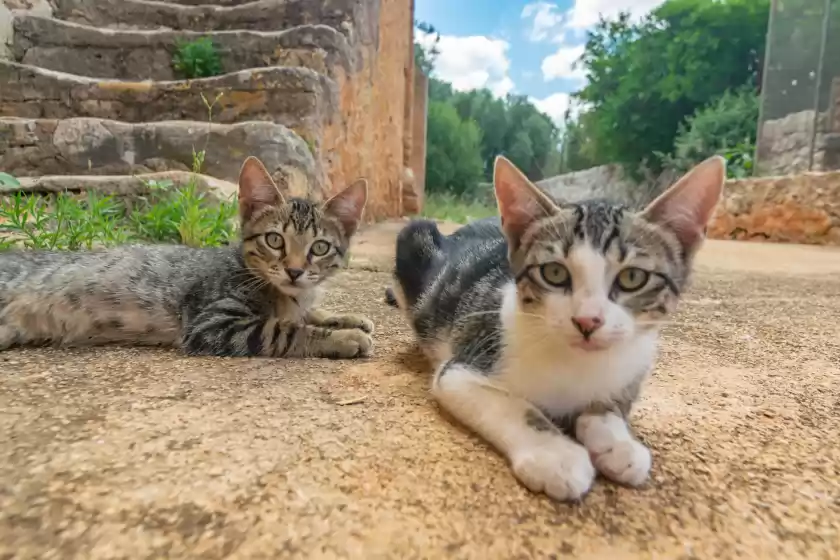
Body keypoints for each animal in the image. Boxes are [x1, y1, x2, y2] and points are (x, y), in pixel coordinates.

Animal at [0, 158, 374, 358]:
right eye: (274, 240)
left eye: (319, 247)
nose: (294, 271)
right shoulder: (213, 323)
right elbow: (286, 330)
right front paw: (344, 338)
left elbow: (309, 313)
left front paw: (346, 318)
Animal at [390, 155, 724, 500]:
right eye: (554, 273)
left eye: (633, 277)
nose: (588, 321)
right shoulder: (462, 368)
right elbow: (514, 406)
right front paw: (557, 455)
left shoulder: (633, 366)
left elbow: (610, 406)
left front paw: (618, 443)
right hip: (416, 236)